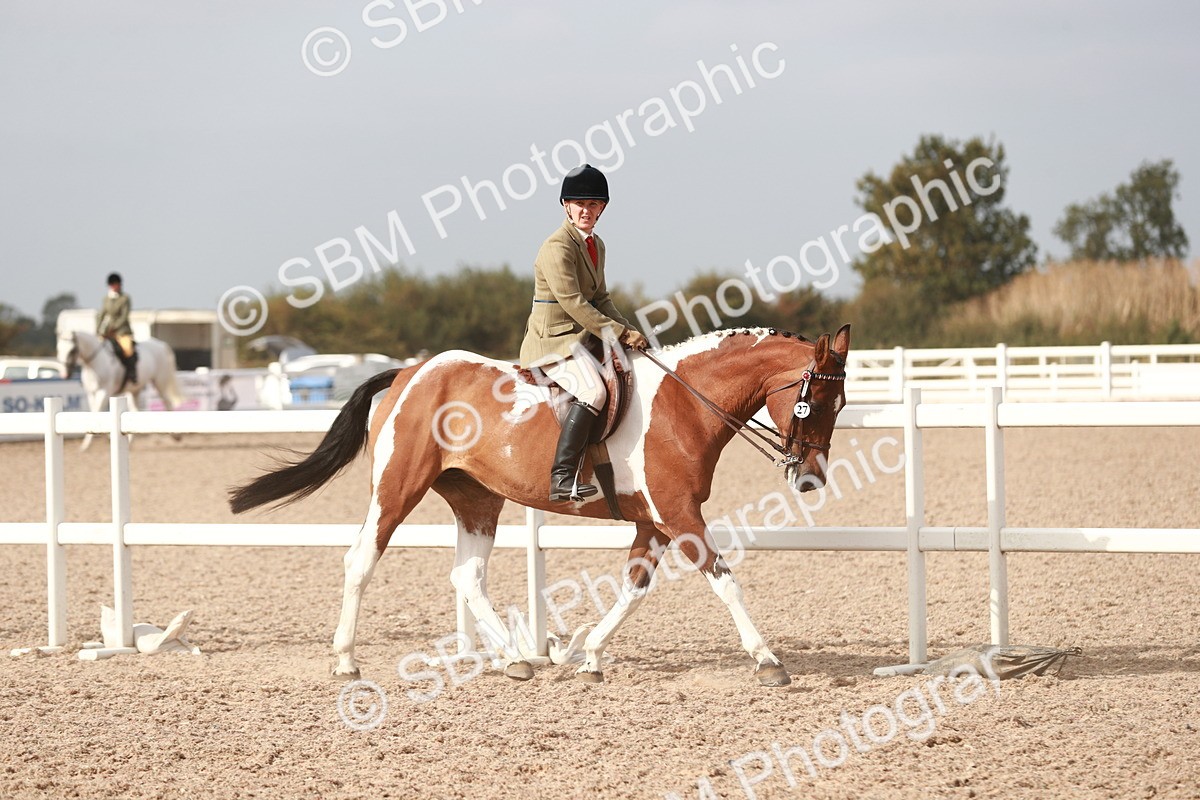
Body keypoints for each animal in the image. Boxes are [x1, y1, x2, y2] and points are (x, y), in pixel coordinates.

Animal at [230, 325, 851, 686]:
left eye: (840, 403)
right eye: (815, 402)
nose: (811, 479)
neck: (684, 404)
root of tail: (411, 371)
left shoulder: (655, 521)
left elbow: (634, 588)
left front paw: (589, 655)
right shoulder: (680, 516)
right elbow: (725, 581)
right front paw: (768, 660)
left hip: (476, 498)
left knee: (467, 576)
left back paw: (515, 659)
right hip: (396, 489)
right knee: (361, 560)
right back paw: (345, 661)